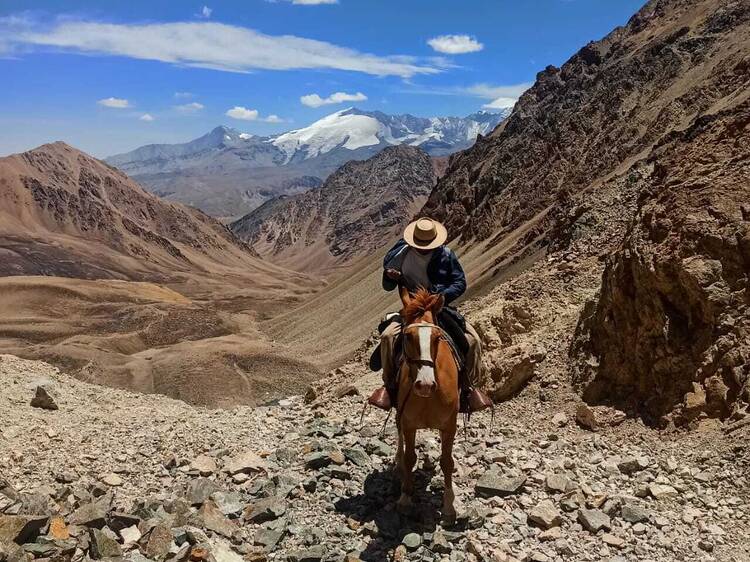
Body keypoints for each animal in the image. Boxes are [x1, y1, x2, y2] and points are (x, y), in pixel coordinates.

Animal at [396, 286, 462, 524]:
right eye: (407, 336)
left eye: (437, 337)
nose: (424, 385)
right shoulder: (408, 423)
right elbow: (409, 458)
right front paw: (405, 497)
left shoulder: (450, 425)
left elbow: (447, 462)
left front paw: (449, 508)